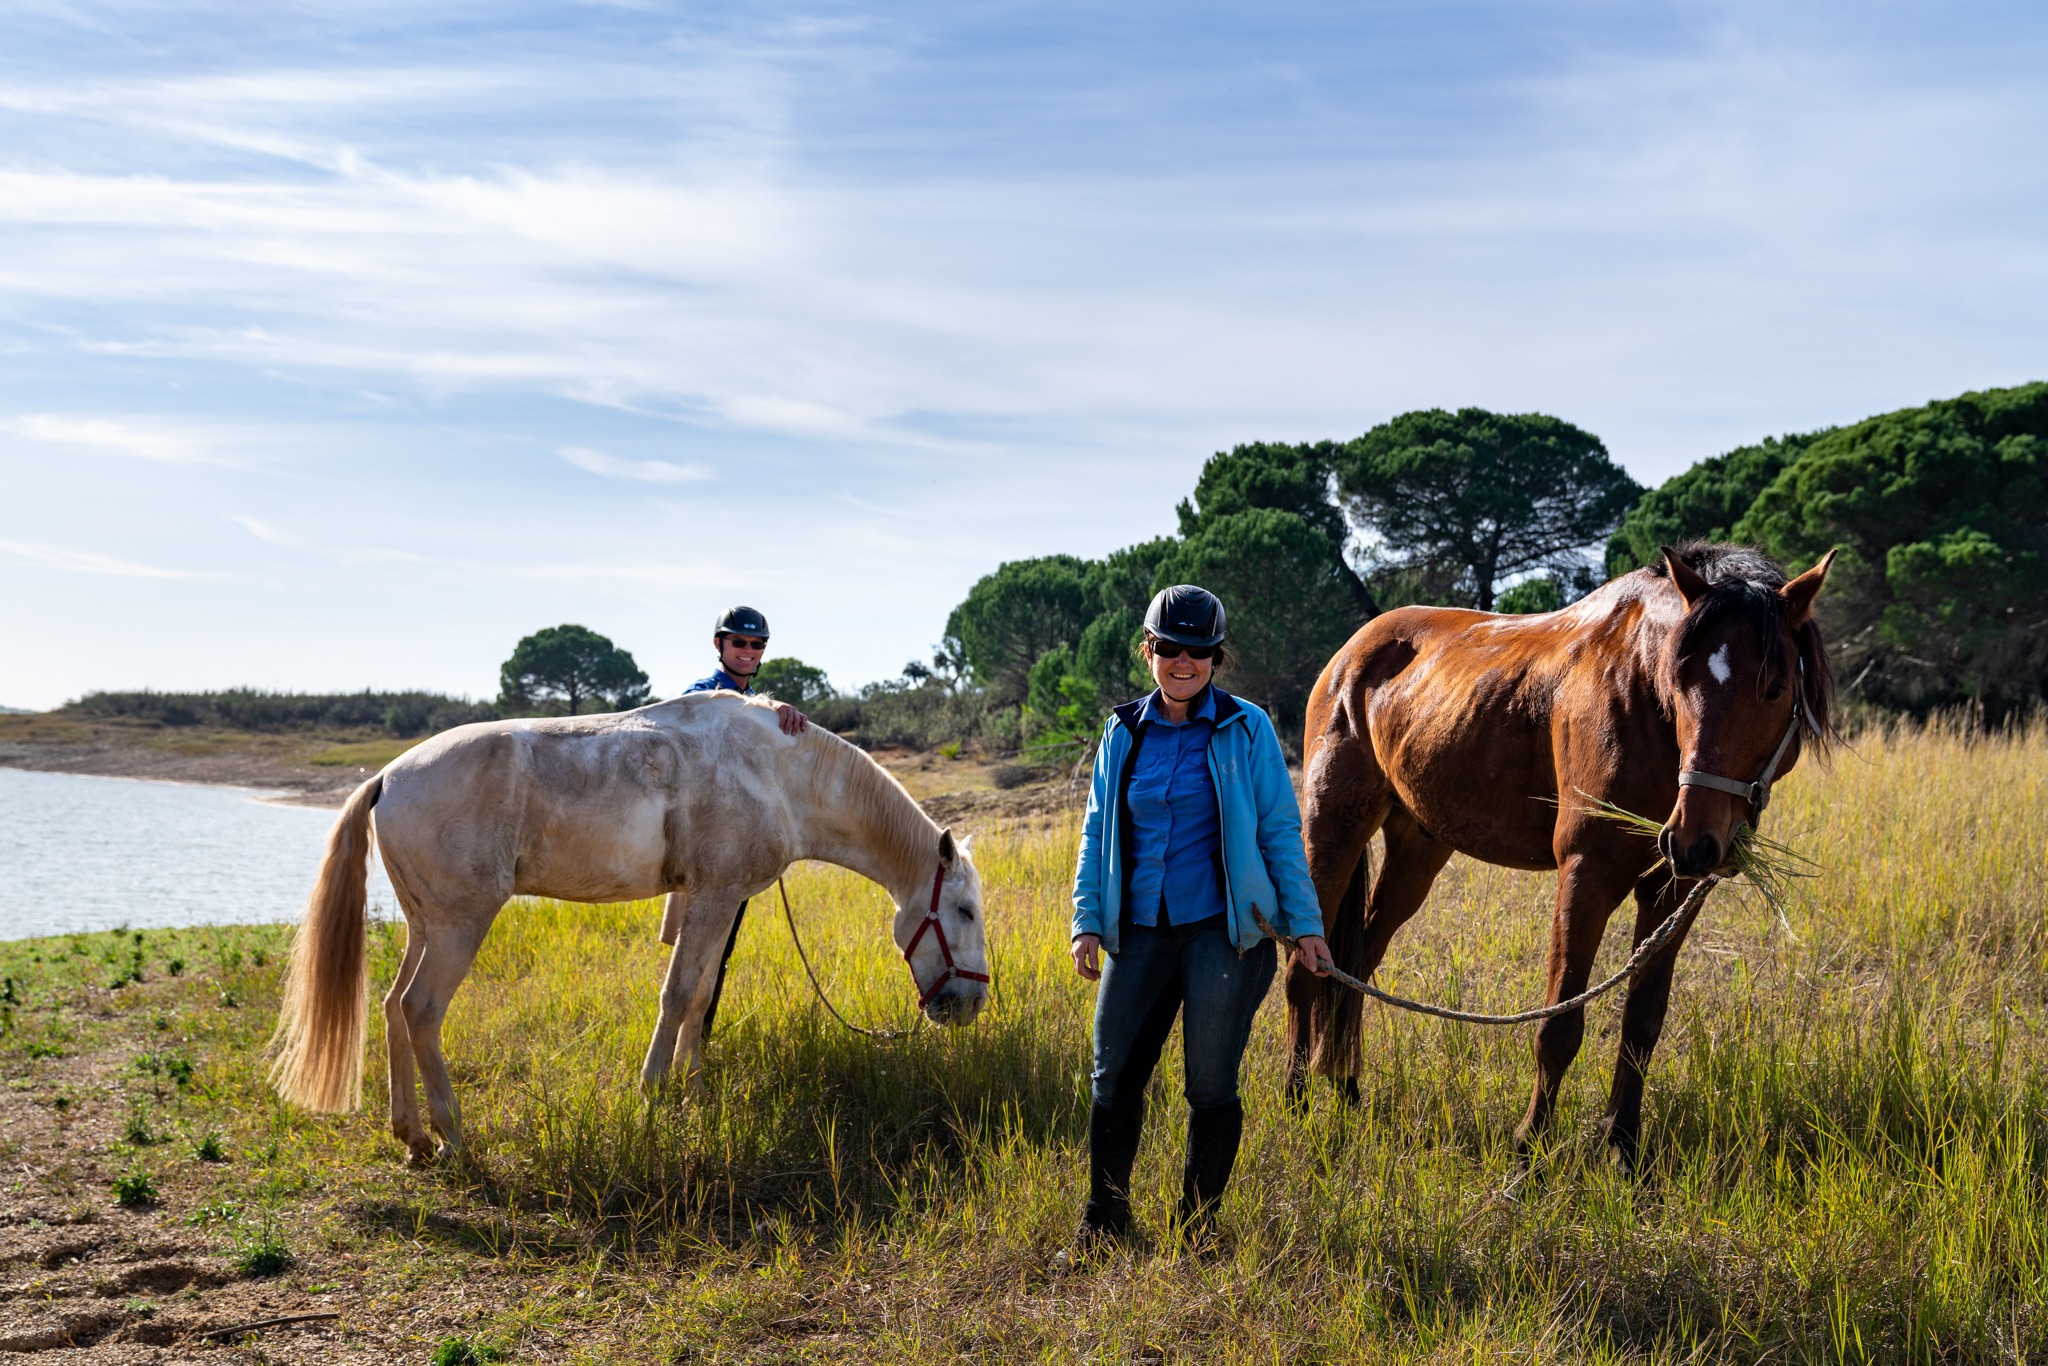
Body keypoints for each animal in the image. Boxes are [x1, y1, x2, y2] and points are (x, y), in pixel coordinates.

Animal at [269, 691, 991, 1165]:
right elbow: (678, 996)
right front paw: (653, 1095)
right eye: (965, 911)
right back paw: (453, 1135)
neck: (779, 774)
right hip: (458, 926)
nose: (971, 1002)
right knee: (420, 1010)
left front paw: (692, 1091)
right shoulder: (713, 897)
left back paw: (414, 1135)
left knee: (393, 1007)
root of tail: (387, 776)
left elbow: (701, 997)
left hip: (425, 926)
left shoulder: (719, 901)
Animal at [1284, 542, 1836, 1168]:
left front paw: (1623, 1147)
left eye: (1774, 687)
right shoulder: (1585, 874)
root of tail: (1350, 655)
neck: (1639, 696)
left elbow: (1642, 1022)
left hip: (1418, 848)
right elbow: (1560, 1025)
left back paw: (1346, 1090)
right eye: (1680, 677)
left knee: (1356, 963)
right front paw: (1529, 1149)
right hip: (1332, 829)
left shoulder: (1671, 893)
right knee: (1304, 968)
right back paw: (1297, 1101)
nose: (1693, 840)